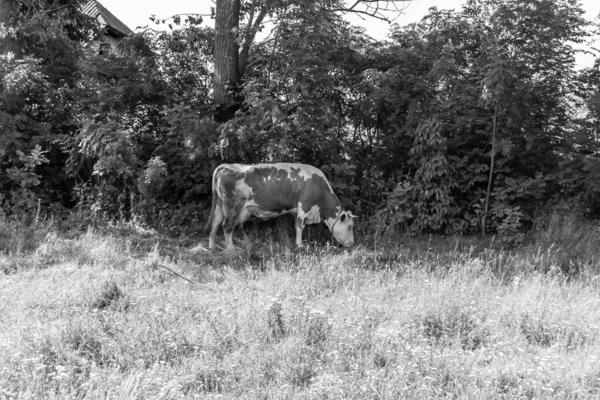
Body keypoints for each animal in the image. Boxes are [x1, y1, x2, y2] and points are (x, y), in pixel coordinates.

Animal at [205, 162, 356, 250]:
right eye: (350, 227)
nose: (352, 244)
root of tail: (227, 165)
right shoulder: (304, 205)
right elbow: (300, 226)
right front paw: (300, 245)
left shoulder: (296, 211)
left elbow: (296, 225)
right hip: (232, 207)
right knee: (226, 226)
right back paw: (231, 250)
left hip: (220, 206)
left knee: (215, 224)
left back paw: (211, 247)